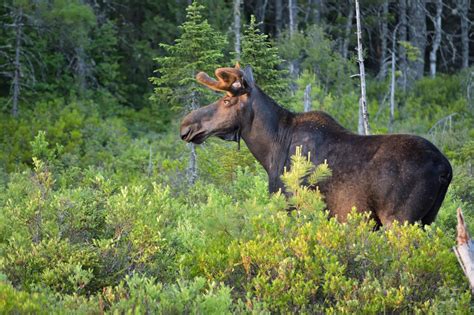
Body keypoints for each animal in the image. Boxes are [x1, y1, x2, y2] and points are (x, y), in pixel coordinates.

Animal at [180, 64, 454, 227]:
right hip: (428, 218)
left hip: (399, 218)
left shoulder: (292, 205)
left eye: (227, 100)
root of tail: (445, 170)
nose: (186, 125)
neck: (271, 150)